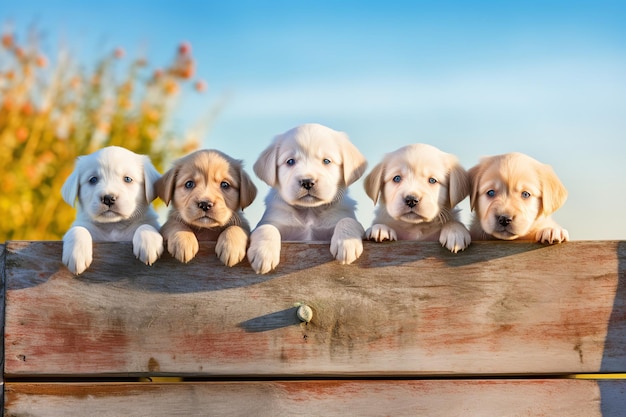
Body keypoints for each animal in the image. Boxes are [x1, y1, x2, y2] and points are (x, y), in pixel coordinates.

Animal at [60, 145, 162, 274]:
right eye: (93, 180)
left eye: (127, 179)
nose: (108, 198)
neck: (113, 225)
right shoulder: (84, 225)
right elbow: (78, 229)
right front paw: (76, 254)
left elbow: (145, 225)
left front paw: (149, 241)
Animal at [246, 122, 368, 274]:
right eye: (290, 161)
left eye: (326, 161)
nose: (307, 182)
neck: (309, 211)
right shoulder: (275, 221)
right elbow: (266, 227)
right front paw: (263, 253)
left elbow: (348, 220)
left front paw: (346, 243)